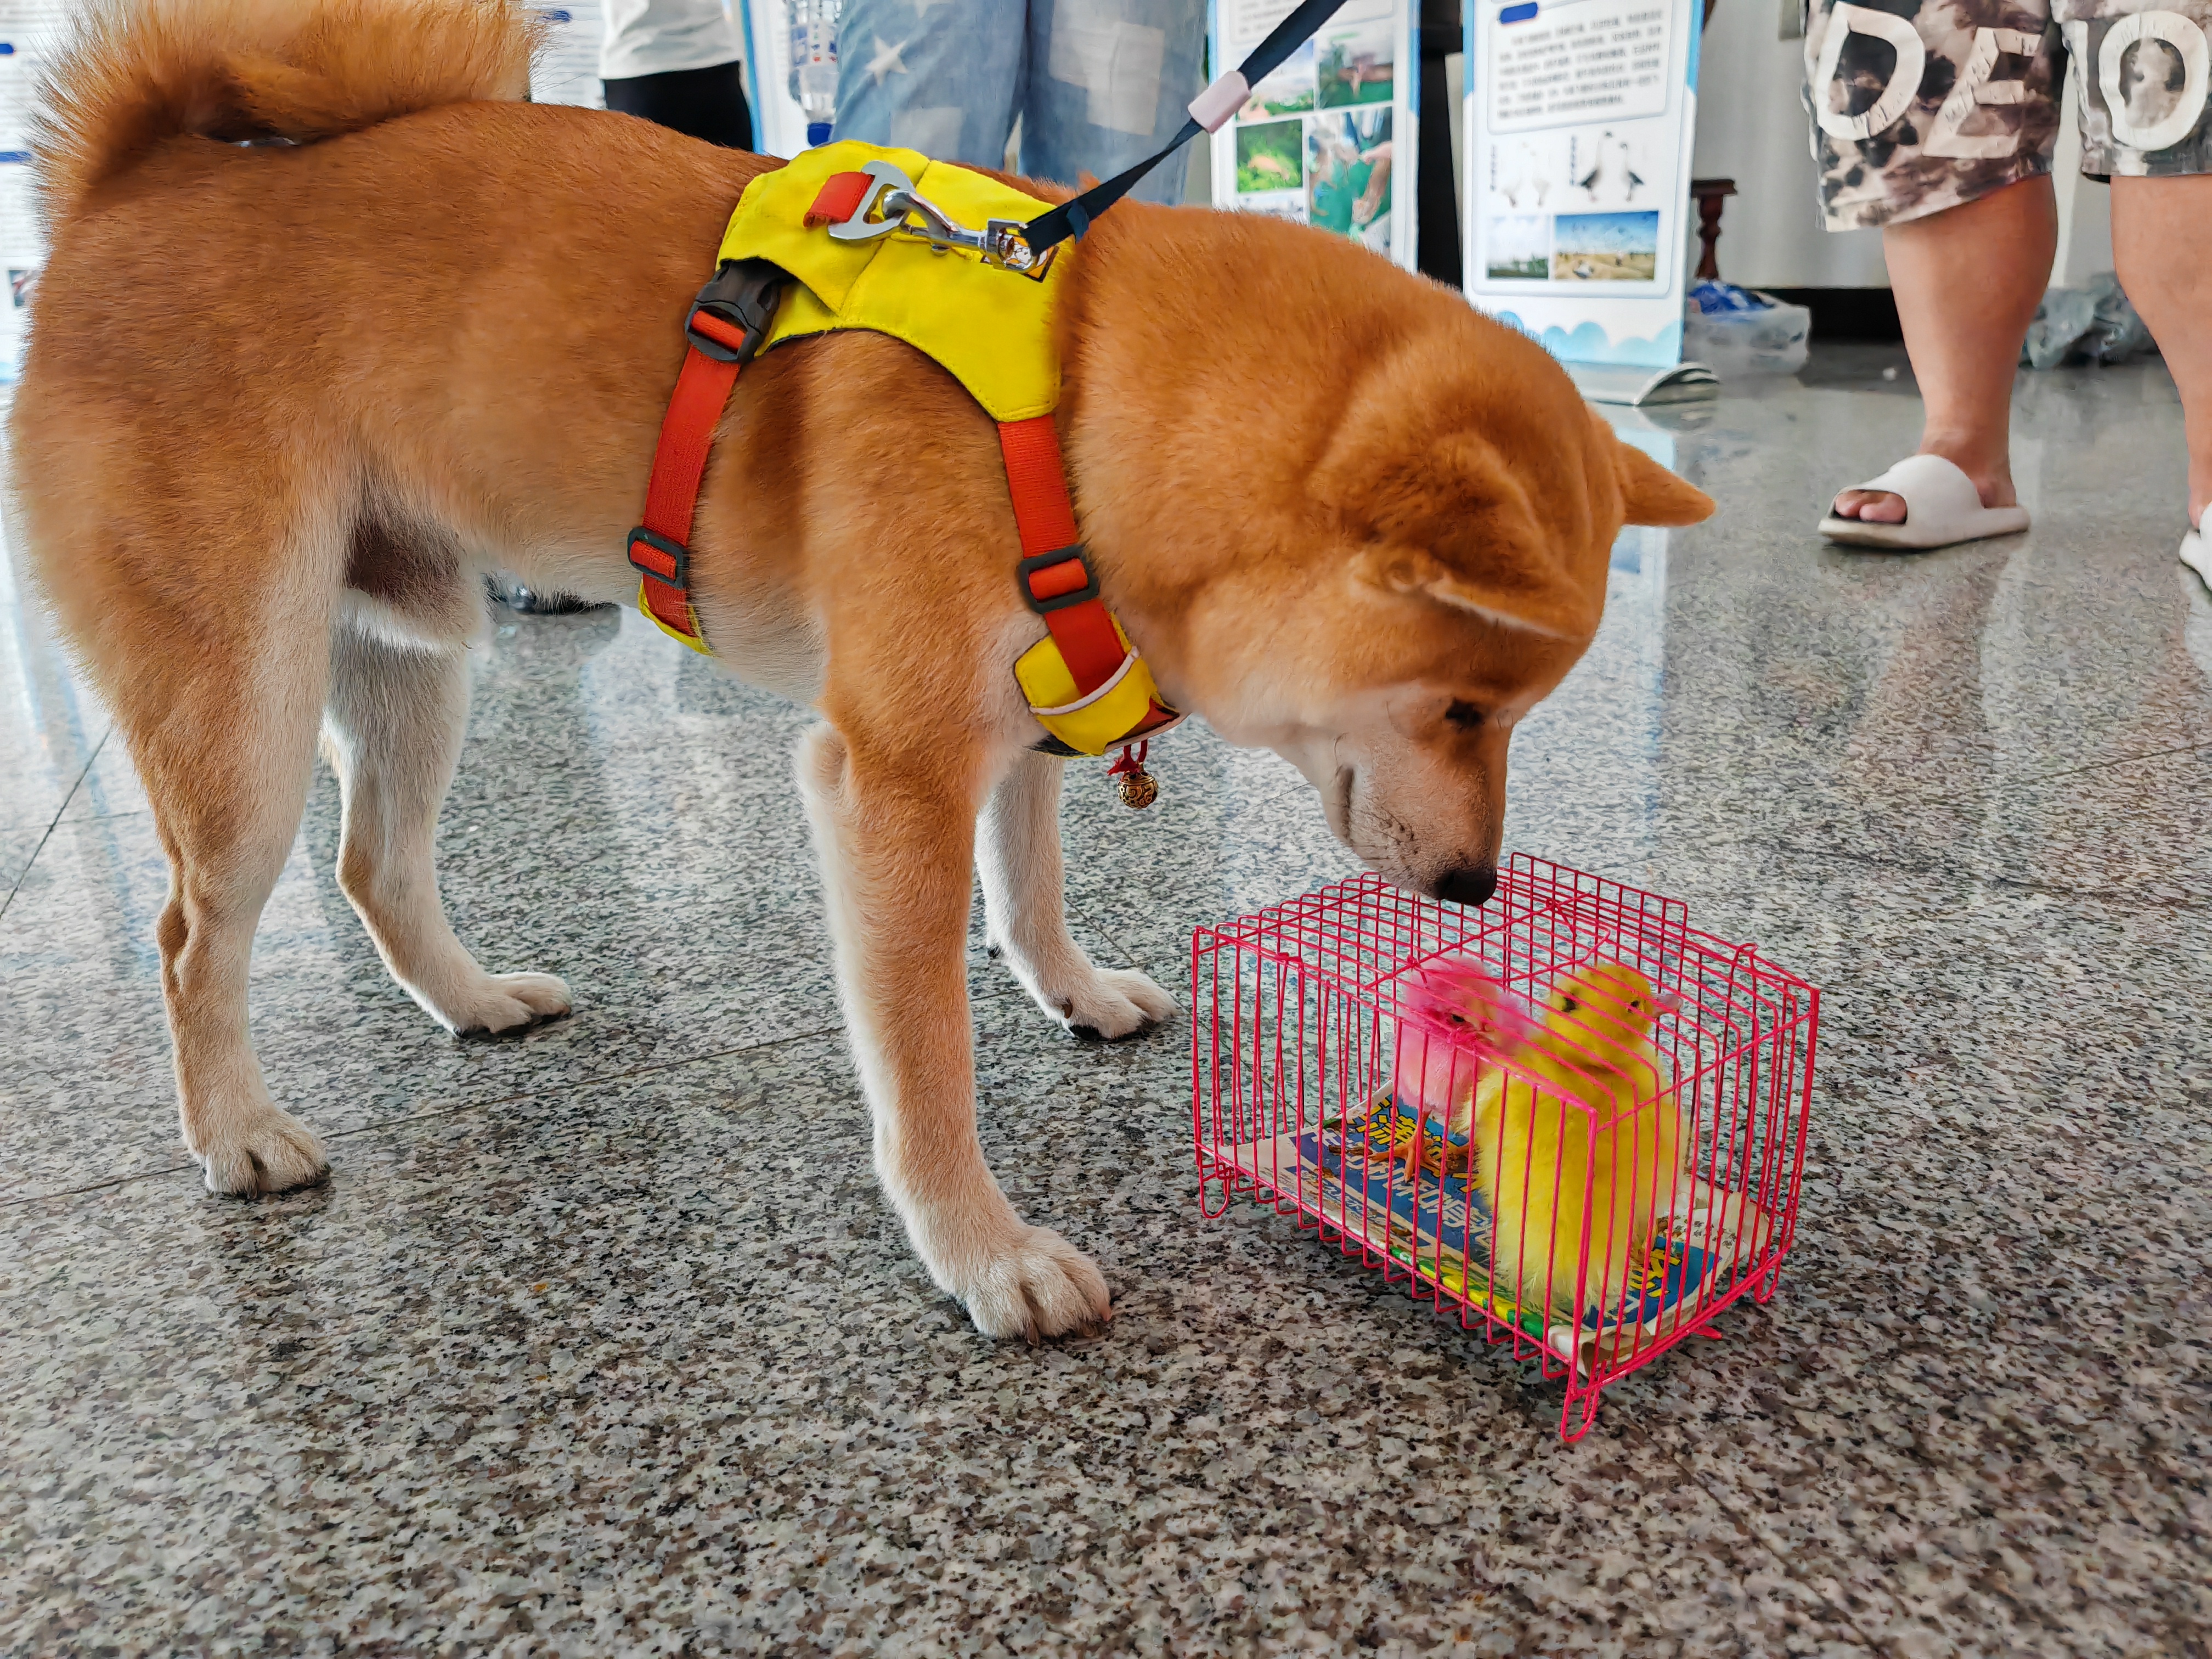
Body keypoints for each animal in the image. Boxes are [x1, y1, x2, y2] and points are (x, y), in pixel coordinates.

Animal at [13, 0, 1713, 1342]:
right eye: (1464, 710)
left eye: (1513, 720)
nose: (1479, 892)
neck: (1076, 393)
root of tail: (134, 179)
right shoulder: (889, 776)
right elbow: (924, 1060)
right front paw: (983, 1253)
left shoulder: (1015, 727)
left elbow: (1030, 887)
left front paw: (1073, 990)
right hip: (241, 705)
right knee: (192, 936)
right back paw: (238, 1131)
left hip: (410, 651)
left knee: (375, 865)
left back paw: (474, 1000)